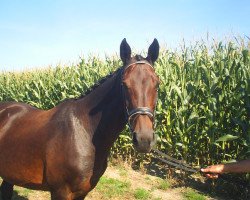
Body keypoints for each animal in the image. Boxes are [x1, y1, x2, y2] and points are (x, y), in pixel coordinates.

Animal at [0, 38, 159, 199]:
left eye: (157, 84)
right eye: (124, 84)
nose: (144, 139)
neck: (84, 131)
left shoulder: (82, 192)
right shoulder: (60, 192)